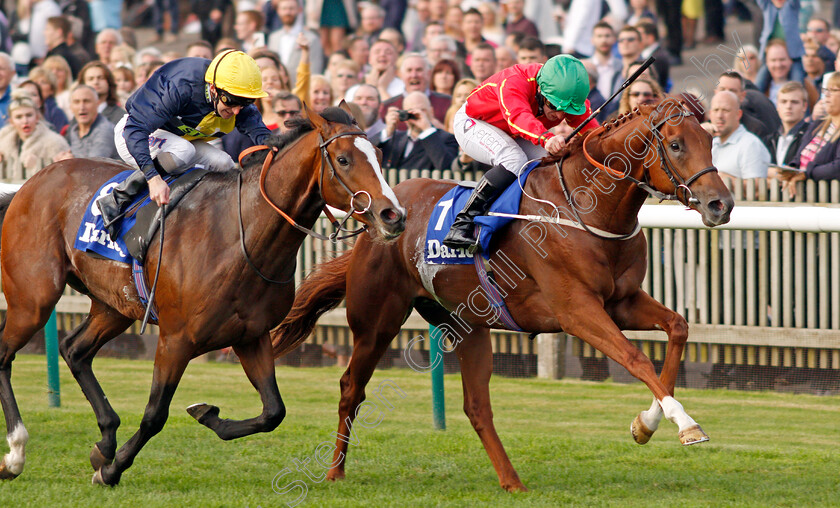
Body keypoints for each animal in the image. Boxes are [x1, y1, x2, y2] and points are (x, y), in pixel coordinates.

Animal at [0, 103, 406, 484]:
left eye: (380, 155)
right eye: (344, 159)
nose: (394, 215)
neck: (241, 237)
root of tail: (30, 183)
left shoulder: (251, 336)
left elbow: (273, 412)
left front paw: (205, 414)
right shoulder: (175, 339)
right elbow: (154, 415)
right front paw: (112, 471)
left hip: (114, 306)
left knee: (75, 349)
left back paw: (105, 439)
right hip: (33, 299)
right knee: (7, 353)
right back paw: (16, 453)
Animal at [270, 99, 736, 492]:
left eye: (710, 140)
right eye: (676, 144)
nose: (721, 204)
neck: (585, 207)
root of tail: (381, 216)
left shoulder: (621, 302)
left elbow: (678, 327)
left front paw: (646, 424)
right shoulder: (577, 310)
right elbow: (637, 358)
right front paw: (685, 424)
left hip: (467, 325)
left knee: (477, 406)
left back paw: (512, 481)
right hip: (376, 322)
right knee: (352, 387)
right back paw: (334, 472)